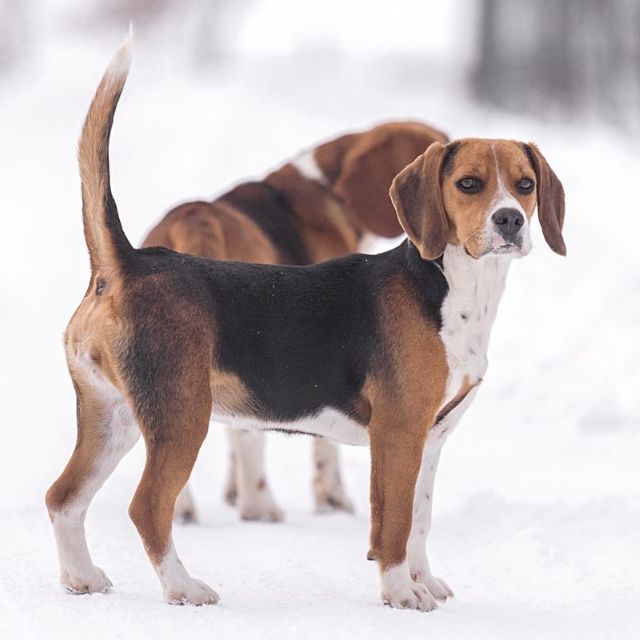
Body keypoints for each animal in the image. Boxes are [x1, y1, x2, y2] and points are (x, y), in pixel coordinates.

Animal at [142, 120, 448, 524]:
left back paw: (185, 508)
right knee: (249, 441)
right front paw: (333, 500)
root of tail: (194, 216)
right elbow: (325, 447)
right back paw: (261, 508)